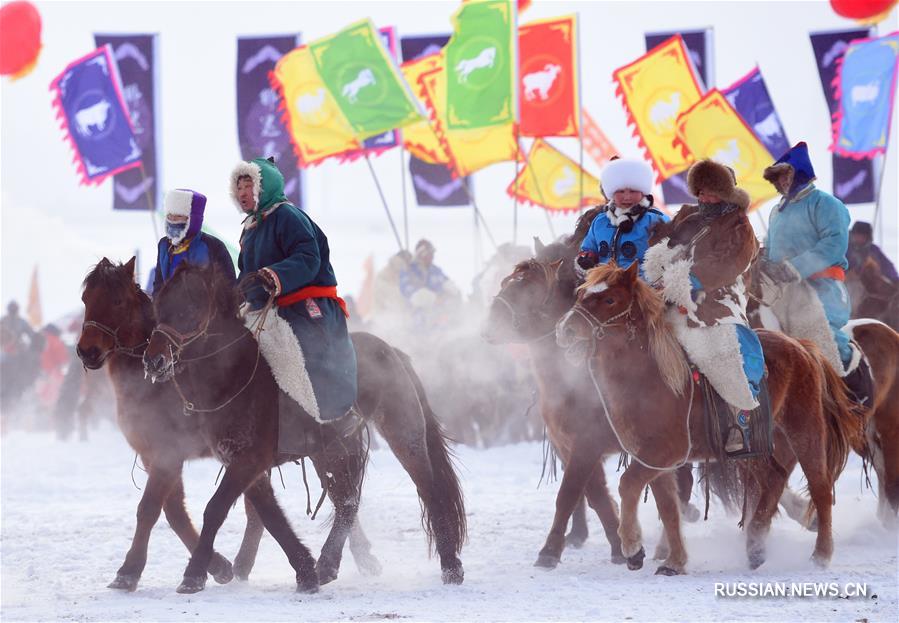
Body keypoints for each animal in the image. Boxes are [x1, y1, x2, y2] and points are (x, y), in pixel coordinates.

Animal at [77, 260, 384, 596]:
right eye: (86, 300)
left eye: (118, 301)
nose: (87, 351)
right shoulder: (176, 456)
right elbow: (185, 510)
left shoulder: (175, 455)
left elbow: (165, 509)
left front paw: (153, 571)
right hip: (322, 451)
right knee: (339, 499)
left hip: (339, 448)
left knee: (345, 500)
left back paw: (334, 562)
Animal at [144, 262, 468, 596]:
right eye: (158, 306)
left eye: (191, 308)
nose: (154, 361)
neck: (236, 376)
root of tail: (391, 350)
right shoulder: (246, 464)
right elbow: (270, 515)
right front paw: (304, 570)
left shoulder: (248, 461)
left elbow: (216, 509)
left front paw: (194, 574)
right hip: (331, 451)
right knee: (347, 502)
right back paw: (327, 565)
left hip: (403, 433)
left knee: (428, 492)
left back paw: (451, 567)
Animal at [556, 264, 864, 576]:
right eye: (580, 294)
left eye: (610, 300)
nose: (565, 329)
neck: (652, 378)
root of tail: (802, 346)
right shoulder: (655, 461)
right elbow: (668, 508)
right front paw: (674, 561)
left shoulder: (664, 451)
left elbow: (628, 485)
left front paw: (632, 548)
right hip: (763, 446)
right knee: (773, 481)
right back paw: (755, 547)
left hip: (805, 429)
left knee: (820, 487)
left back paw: (821, 554)